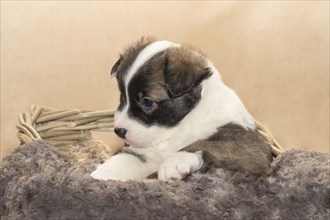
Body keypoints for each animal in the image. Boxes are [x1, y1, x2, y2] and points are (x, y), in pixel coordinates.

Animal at [89, 37, 270, 181]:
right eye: (122, 97)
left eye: (147, 102)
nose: (119, 131)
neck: (179, 127)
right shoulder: (145, 151)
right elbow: (127, 157)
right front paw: (103, 173)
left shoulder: (250, 148)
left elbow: (203, 143)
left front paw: (174, 162)